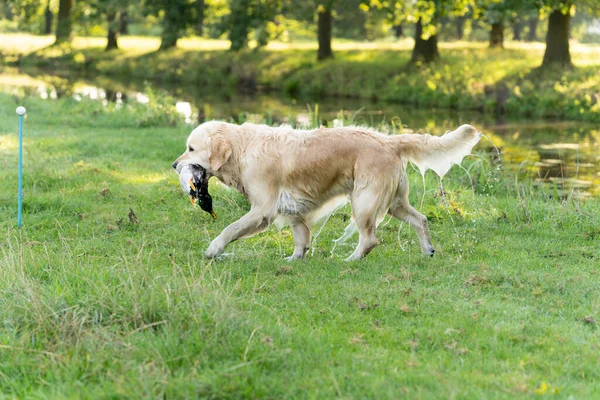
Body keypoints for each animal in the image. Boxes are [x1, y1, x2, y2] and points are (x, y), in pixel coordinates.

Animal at [171, 120, 480, 260]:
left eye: (191, 149)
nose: (174, 165)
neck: (242, 148)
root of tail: (389, 140)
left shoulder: (262, 209)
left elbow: (230, 228)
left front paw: (213, 249)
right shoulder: (293, 209)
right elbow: (301, 237)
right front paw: (295, 259)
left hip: (364, 200)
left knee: (370, 239)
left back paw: (351, 259)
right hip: (394, 202)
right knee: (420, 218)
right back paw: (427, 249)